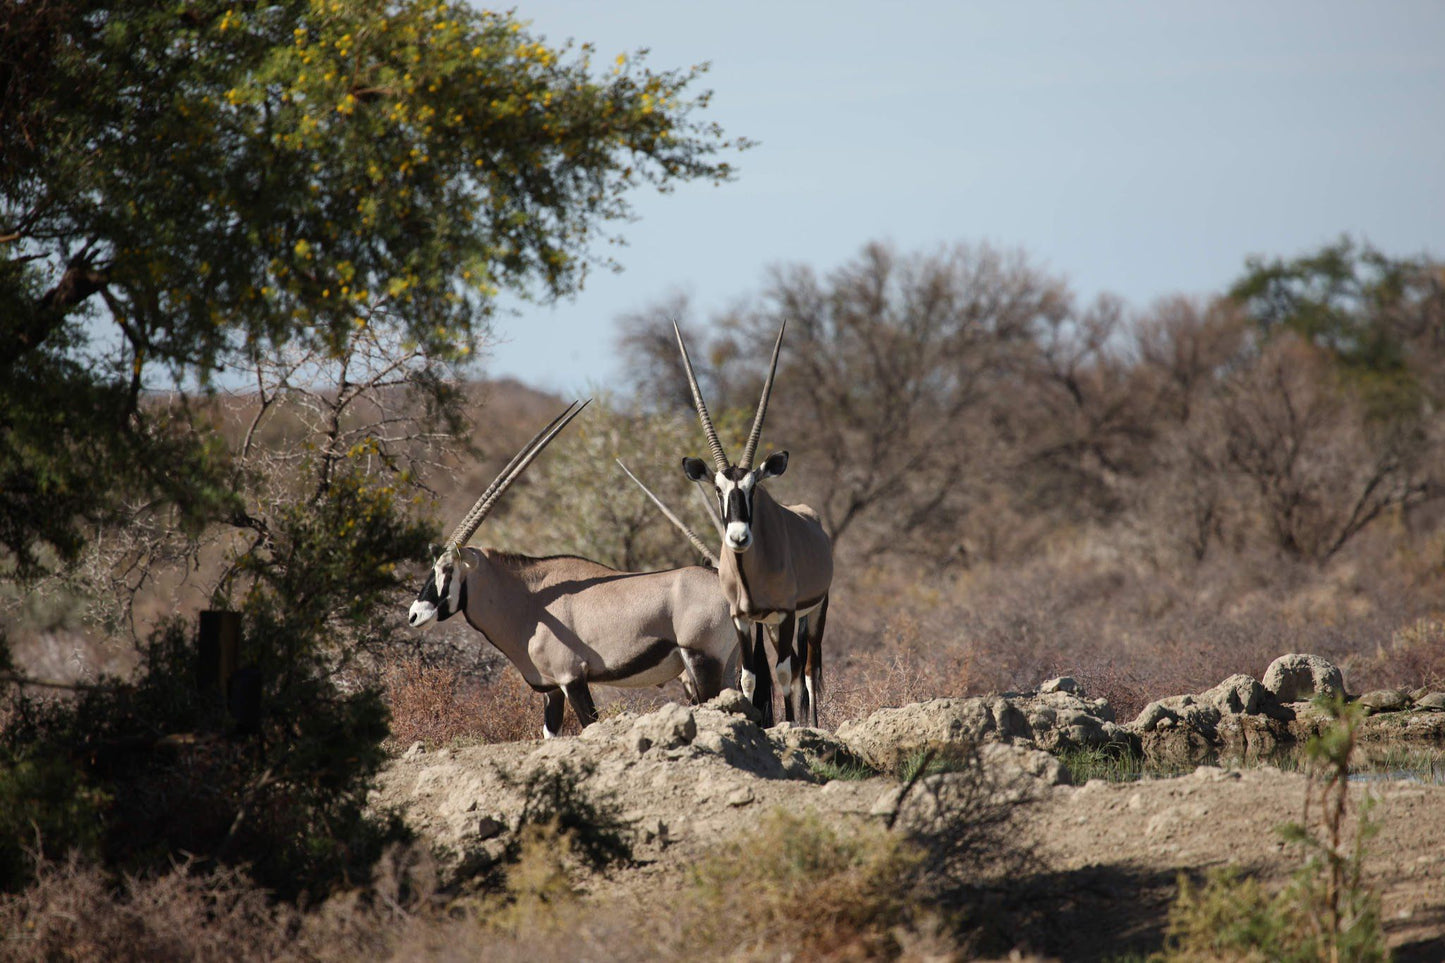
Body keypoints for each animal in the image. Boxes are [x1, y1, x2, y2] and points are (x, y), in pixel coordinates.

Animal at [410, 396, 739, 734]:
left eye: (448, 569)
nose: (415, 614)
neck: (529, 601)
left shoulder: (573, 679)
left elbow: (589, 724)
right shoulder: (551, 688)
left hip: (703, 662)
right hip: (728, 667)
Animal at [667, 318, 832, 722]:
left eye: (753, 488)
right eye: (718, 489)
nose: (739, 537)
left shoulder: (787, 613)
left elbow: (785, 673)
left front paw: (791, 726)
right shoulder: (742, 618)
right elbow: (749, 677)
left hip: (815, 612)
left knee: (807, 669)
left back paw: (813, 724)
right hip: (772, 626)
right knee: (797, 668)